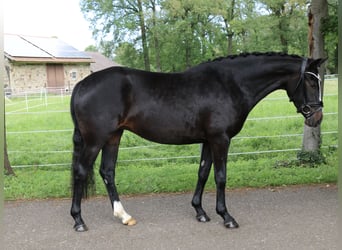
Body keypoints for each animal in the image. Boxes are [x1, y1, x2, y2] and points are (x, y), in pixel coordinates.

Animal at [70, 51, 326, 231]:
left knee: (107, 172)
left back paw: (124, 216)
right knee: (81, 171)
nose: (317, 117)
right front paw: (226, 216)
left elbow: (203, 172)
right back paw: (79, 220)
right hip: (95, 140)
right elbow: (220, 176)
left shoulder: (208, 140)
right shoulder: (220, 139)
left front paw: (200, 212)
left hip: (114, 136)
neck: (230, 84)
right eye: (312, 82)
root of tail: (82, 84)